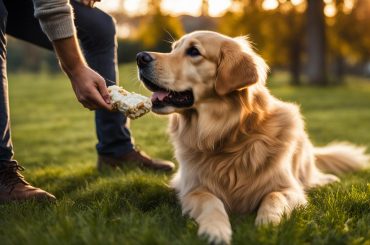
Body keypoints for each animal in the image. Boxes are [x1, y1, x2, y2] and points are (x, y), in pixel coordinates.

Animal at [136, 31, 370, 245]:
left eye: (194, 51)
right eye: (173, 49)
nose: (140, 57)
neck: (228, 136)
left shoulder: (289, 189)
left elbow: (273, 196)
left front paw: (268, 224)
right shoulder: (192, 189)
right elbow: (211, 202)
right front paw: (215, 230)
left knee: (311, 176)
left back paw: (327, 180)